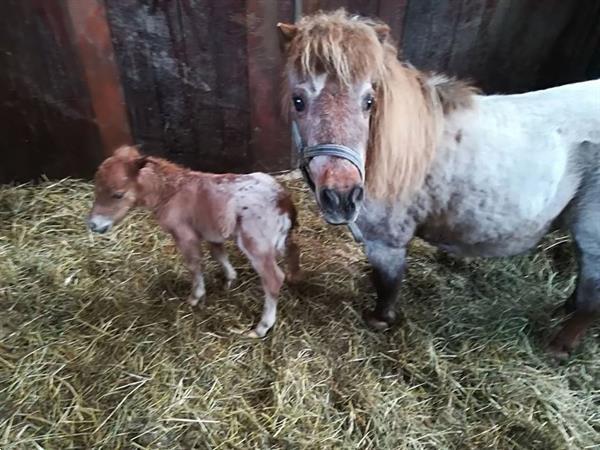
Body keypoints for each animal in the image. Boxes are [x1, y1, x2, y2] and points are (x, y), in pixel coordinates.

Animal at [86, 146, 302, 336]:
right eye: (96, 189)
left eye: (118, 194)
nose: (93, 225)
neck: (170, 191)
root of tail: (283, 199)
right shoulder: (212, 231)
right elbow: (218, 254)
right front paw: (230, 280)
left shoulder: (184, 234)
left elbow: (193, 264)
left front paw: (194, 298)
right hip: (280, 237)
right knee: (294, 249)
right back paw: (293, 278)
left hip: (255, 243)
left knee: (273, 278)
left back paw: (261, 328)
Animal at [278, 8, 600, 356]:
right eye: (298, 101)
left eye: (369, 101)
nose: (342, 197)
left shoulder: (388, 243)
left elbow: (388, 284)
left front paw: (380, 319)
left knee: (591, 299)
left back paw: (559, 346)